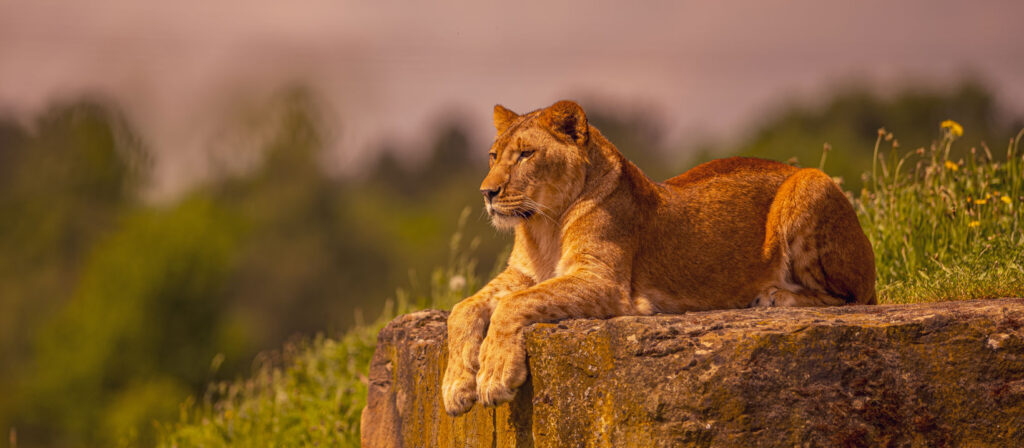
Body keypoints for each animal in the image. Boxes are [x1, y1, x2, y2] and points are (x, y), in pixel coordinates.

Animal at [441, 100, 876, 416]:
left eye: (526, 155)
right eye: (493, 156)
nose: (487, 192)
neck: (543, 226)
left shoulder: (606, 283)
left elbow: (514, 305)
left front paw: (493, 375)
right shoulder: (522, 274)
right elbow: (463, 308)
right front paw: (455, 386)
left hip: (811, 183)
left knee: (850, 297)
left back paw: (773, 297)